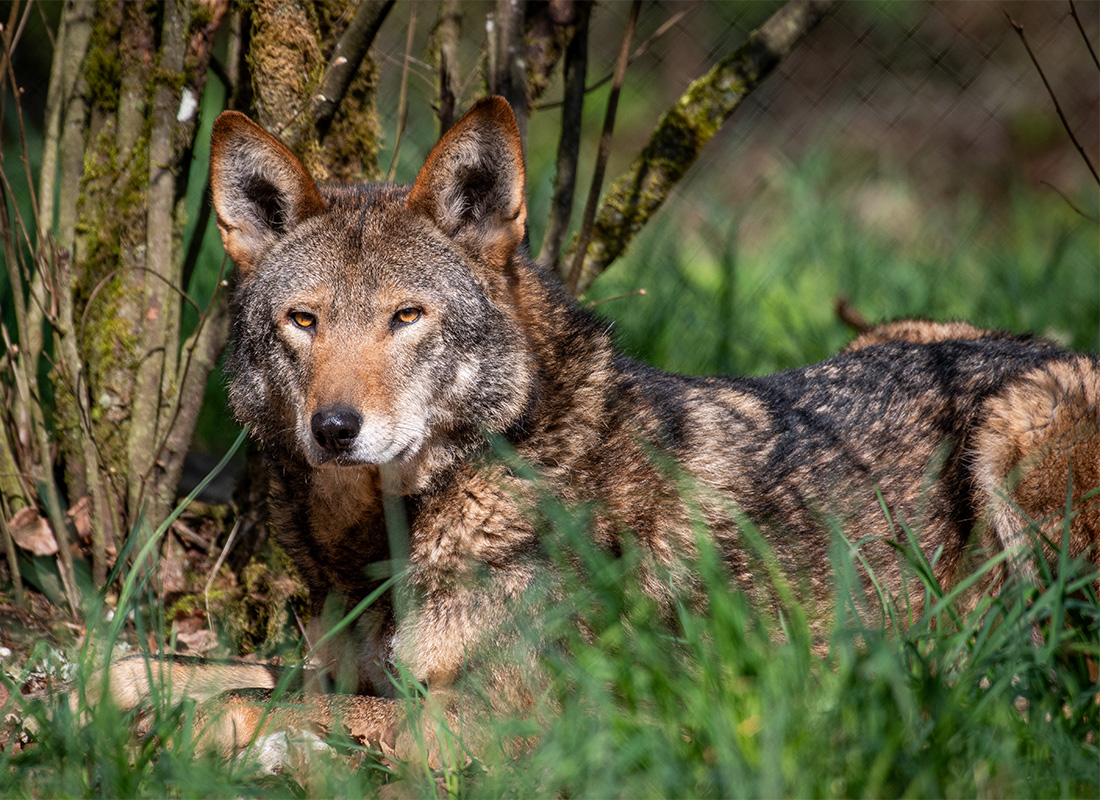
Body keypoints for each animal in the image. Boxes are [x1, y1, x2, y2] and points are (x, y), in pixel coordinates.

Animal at [76, 97, 1100, 760]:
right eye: (304, 321)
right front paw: (91, 687)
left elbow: (248, 705)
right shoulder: (345, 666)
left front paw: (185, 735)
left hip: (1015, 438)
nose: (334, 428)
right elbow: (172, 666)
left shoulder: (511, 723)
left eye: (407, 318)